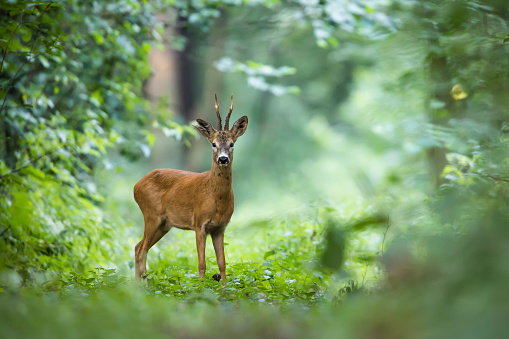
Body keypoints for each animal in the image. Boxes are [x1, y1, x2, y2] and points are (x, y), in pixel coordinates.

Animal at [133, 94, 248, 286]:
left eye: (232, 144)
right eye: (213, 144)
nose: (223, 159)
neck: (216, 199)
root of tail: (136, 186)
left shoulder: (220, 227)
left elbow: (222, 263)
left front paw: (225, 289)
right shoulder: (198, 223)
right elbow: (201, 263)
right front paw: (200, 288)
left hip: (164, 224)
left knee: (138, 247)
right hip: (151, 215)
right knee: (141, 249)